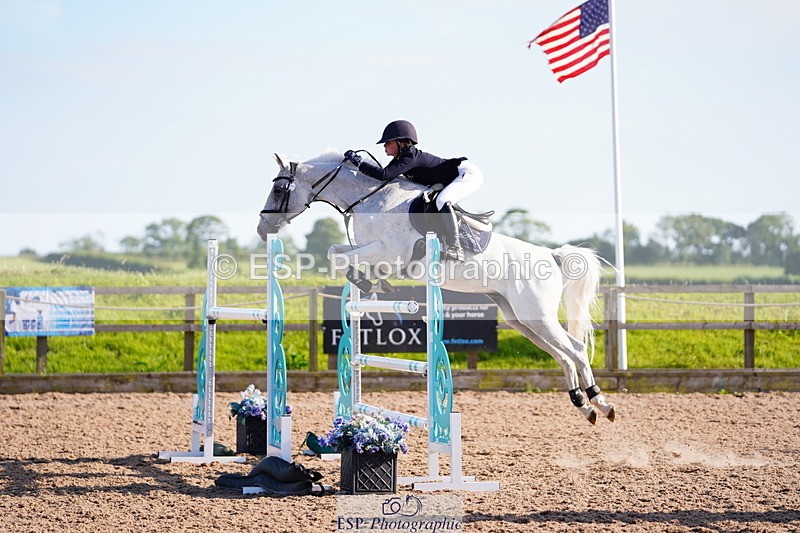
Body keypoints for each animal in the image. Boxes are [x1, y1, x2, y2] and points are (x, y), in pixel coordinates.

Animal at [257, 151, 615, 424]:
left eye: (279, 190)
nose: (263, 230)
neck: (372, 200)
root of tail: (551, 255)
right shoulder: (371, 249)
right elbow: (338, 252)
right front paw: (370, 281)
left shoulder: (389, 251)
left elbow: (339, 254)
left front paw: (366, 280)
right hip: (521, 320)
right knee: (564, 355)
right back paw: (584, 405)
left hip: (537, 316)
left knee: (576, 350)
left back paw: (601, 403)